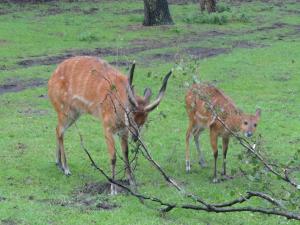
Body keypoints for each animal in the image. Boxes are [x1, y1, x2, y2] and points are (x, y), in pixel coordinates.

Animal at [48, 55, 172, 193]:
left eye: (144, 120)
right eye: (131, 116)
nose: (135, 137)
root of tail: (51, 78)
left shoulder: (123, 131)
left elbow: (125, 153)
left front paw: (131, 181)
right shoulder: (106, 126)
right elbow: (113, 157)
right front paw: (113, 189)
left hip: (75, 112)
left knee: (57, 129)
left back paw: (58, 163)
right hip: (64, 109)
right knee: (59, 130)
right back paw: (66, 169)